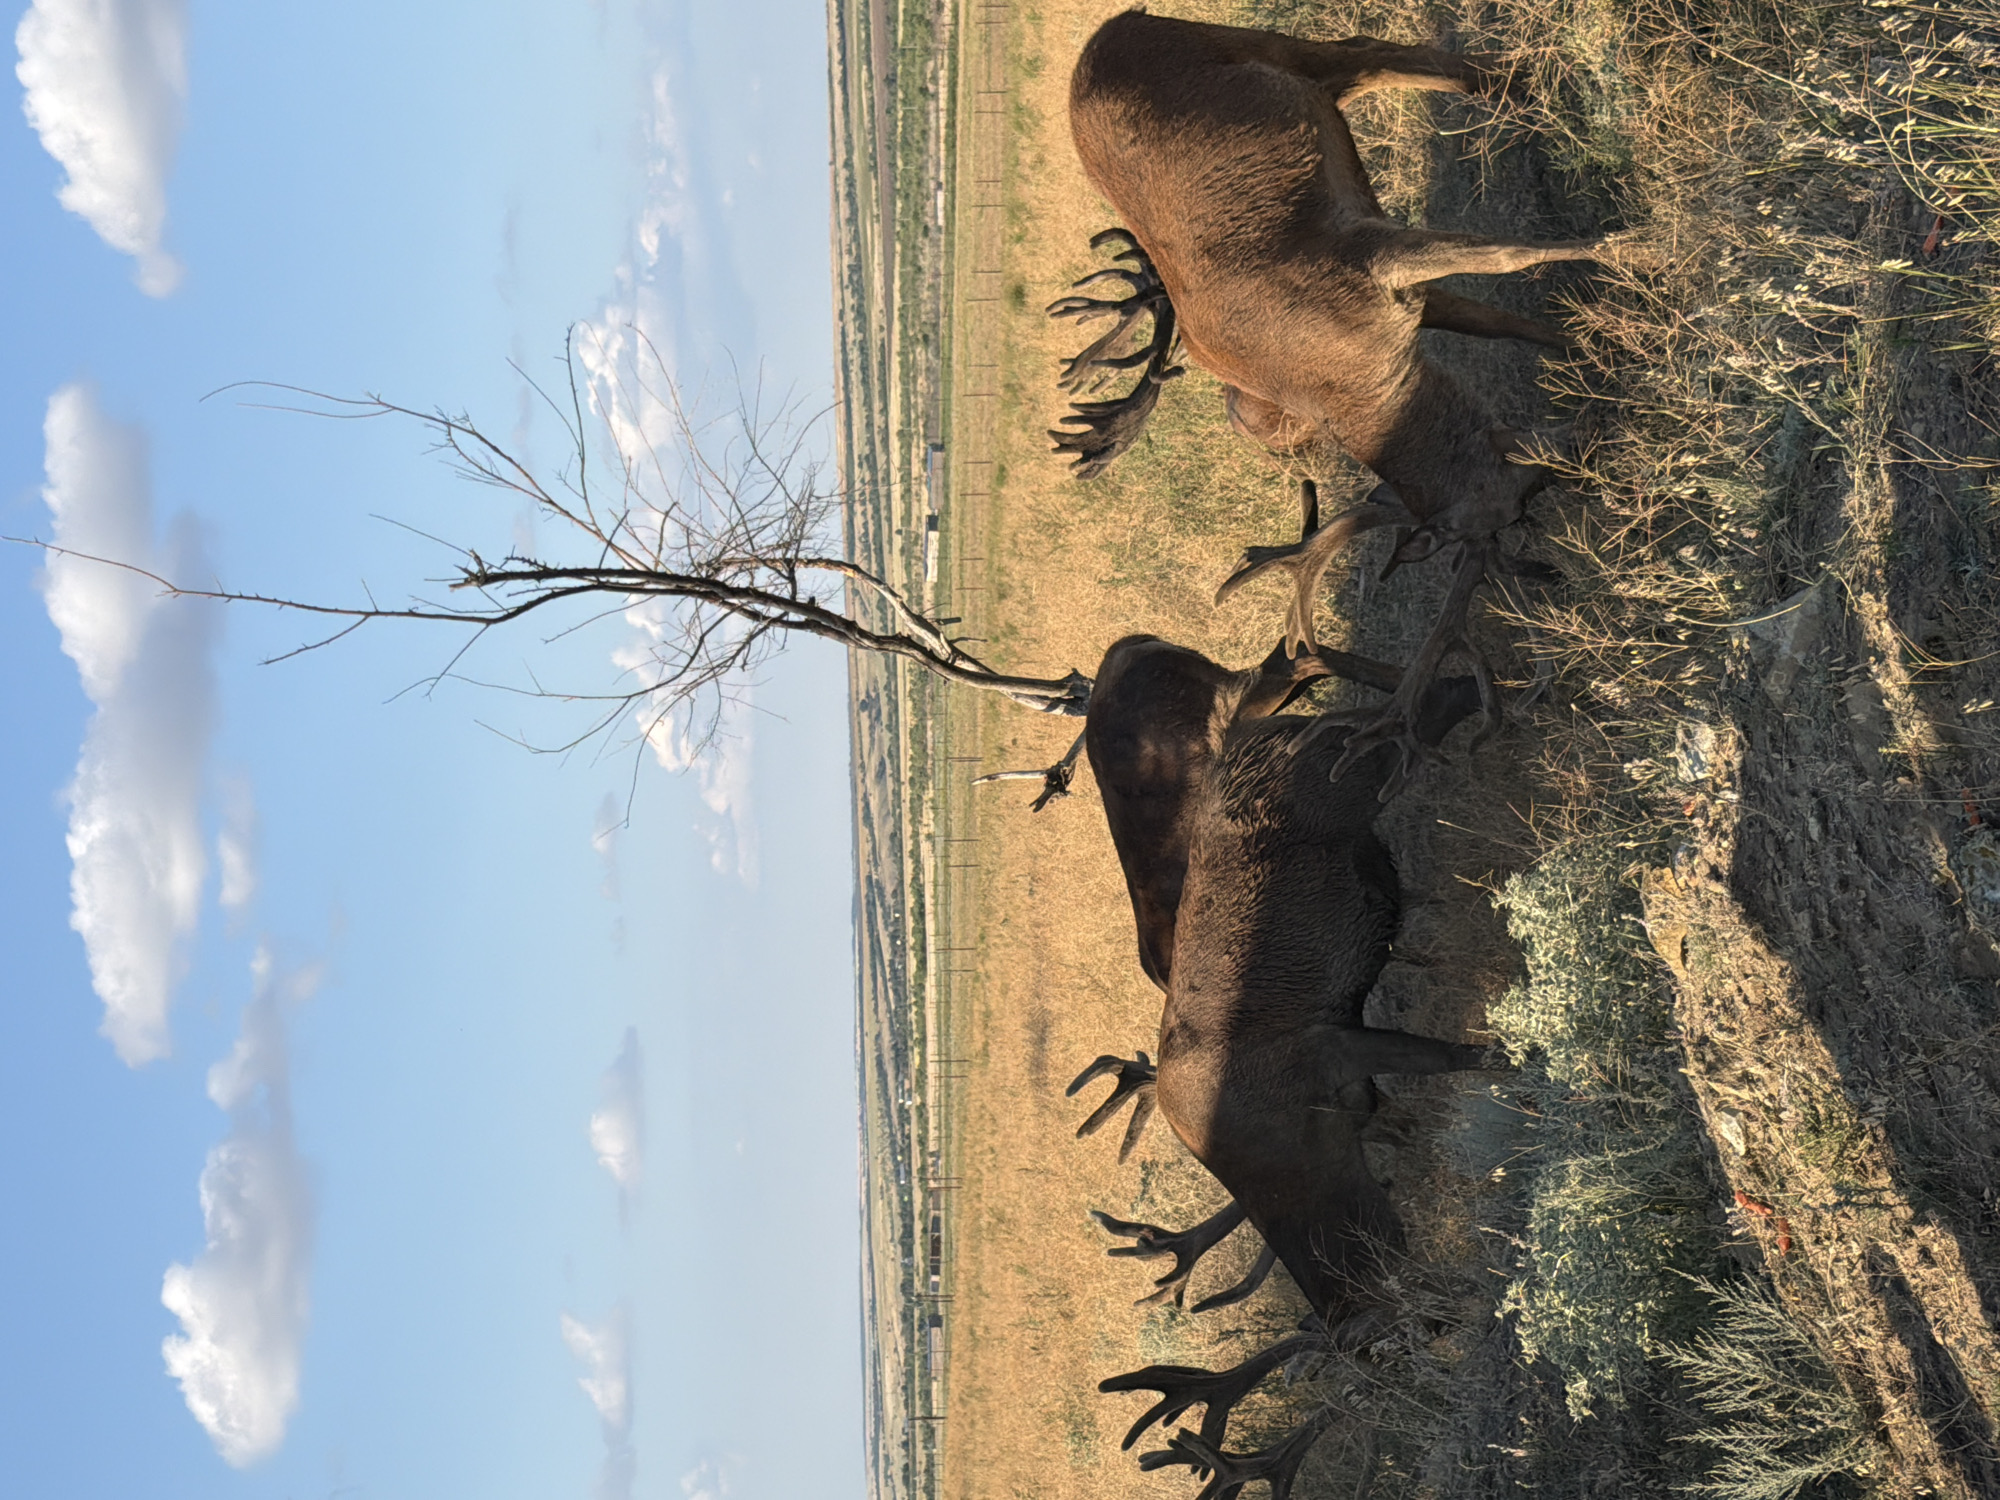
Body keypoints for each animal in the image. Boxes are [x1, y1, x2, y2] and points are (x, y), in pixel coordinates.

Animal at [1058, 10, 1631, 777]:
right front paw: (1602, 340)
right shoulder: (1403, 293)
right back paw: (1520, 88)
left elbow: (1509, 255)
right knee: (1373, 63)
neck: (1355, 381)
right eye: (1516, 513)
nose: (1591, 450)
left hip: (1250, 45)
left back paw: (1524, 85)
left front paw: (1634, 246)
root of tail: (1117, 23)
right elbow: (1510, 317)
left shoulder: (1371, 255)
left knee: (1366, 50)